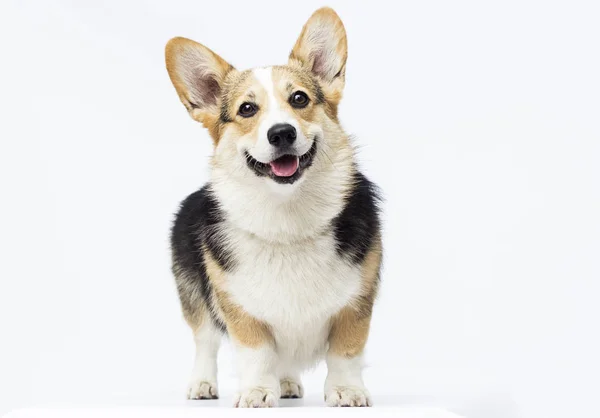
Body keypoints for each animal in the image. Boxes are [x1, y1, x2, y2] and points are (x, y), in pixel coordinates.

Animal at [165, 6, 380, 408]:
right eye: (247, 109)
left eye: (299, 99)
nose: (281, 133)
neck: (288, 221)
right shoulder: (240, 310)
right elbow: (258, 353)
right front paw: (256, 392)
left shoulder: (355, 305)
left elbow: (345, 354)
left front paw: (346, 391)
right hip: (194, 297)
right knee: (204, 342)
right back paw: (202, 384)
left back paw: (288, 383)